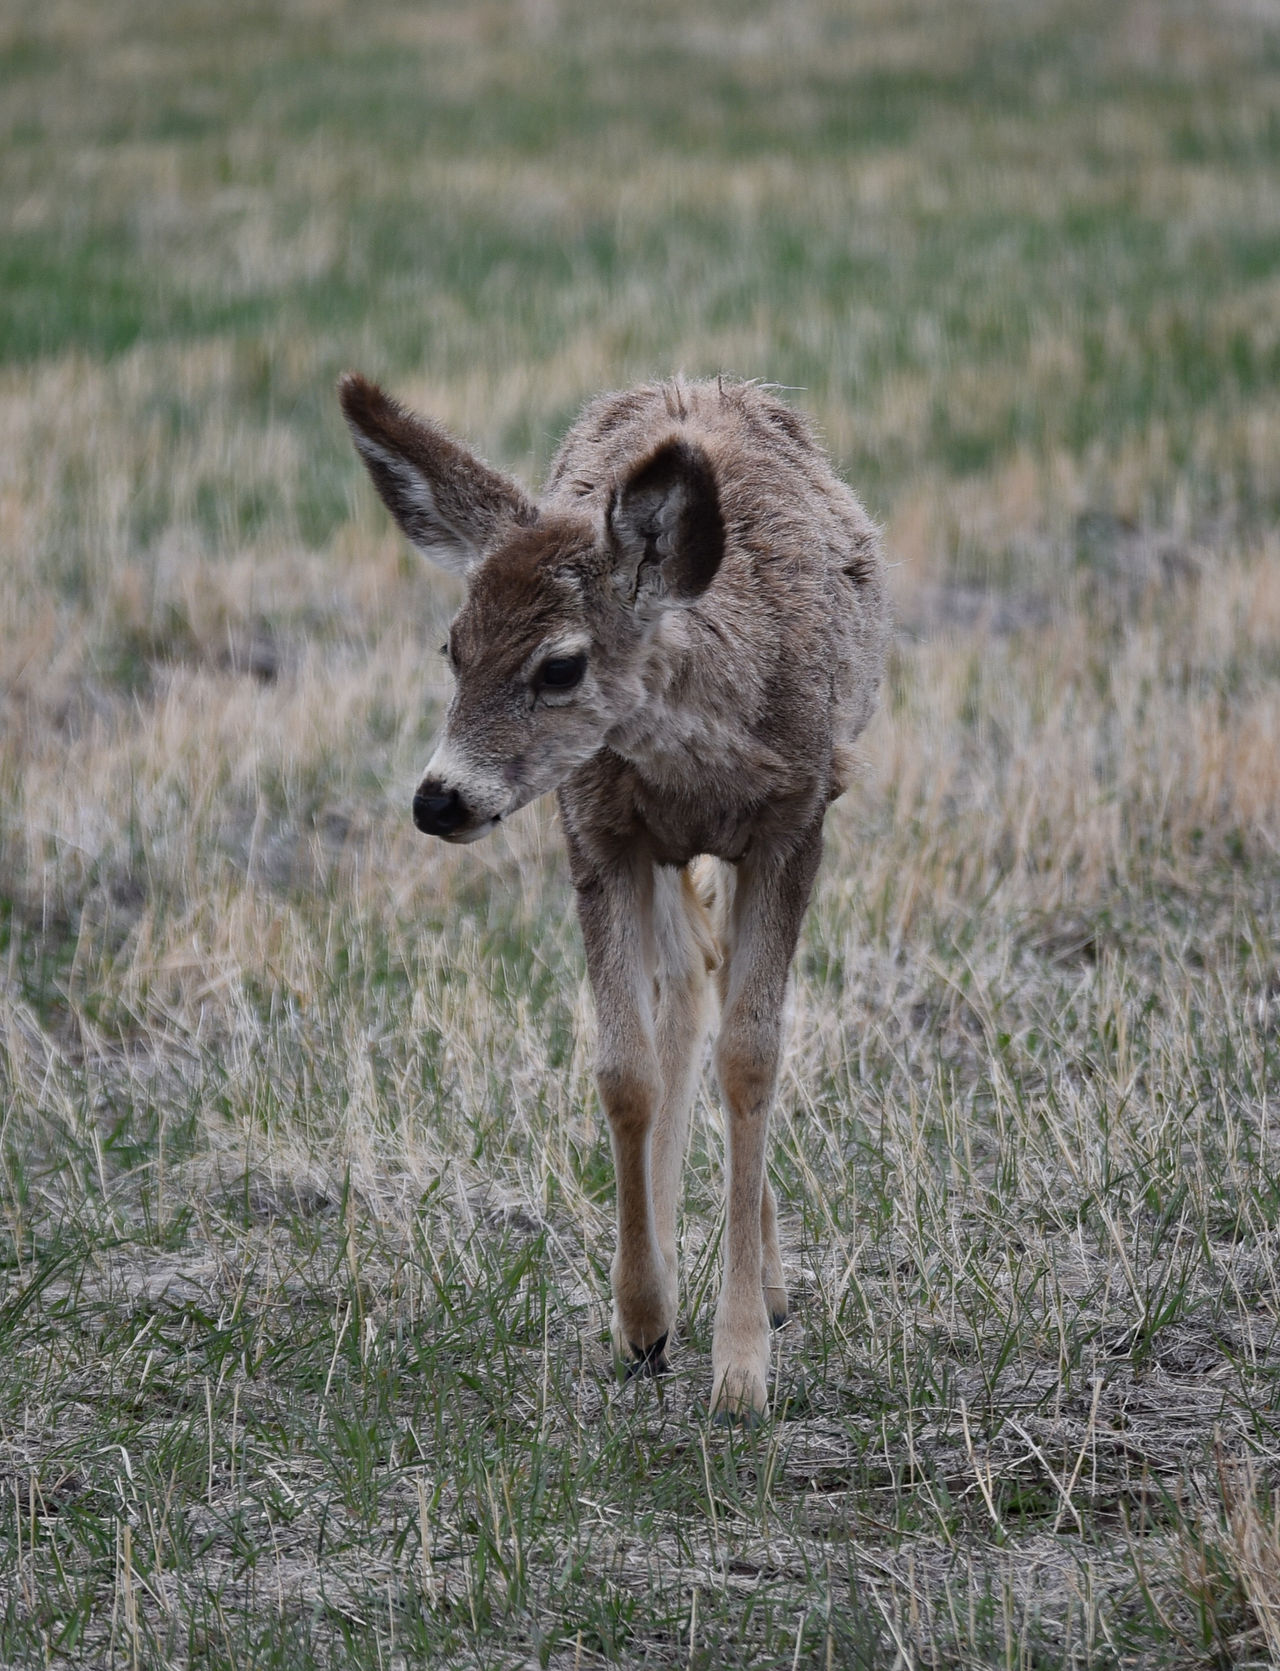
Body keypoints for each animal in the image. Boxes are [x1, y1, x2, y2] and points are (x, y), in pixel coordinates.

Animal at [340, 373, 887, 1423]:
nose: (439, 799)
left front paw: (742, 1367)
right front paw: (642, 1320)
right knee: (690, 980)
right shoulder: (598, 830)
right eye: (452, 647)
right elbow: (624, 1070)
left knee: (718, 994)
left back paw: (768, 1282)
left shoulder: (797, 822)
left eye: (560, 664)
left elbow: (753, 1058)